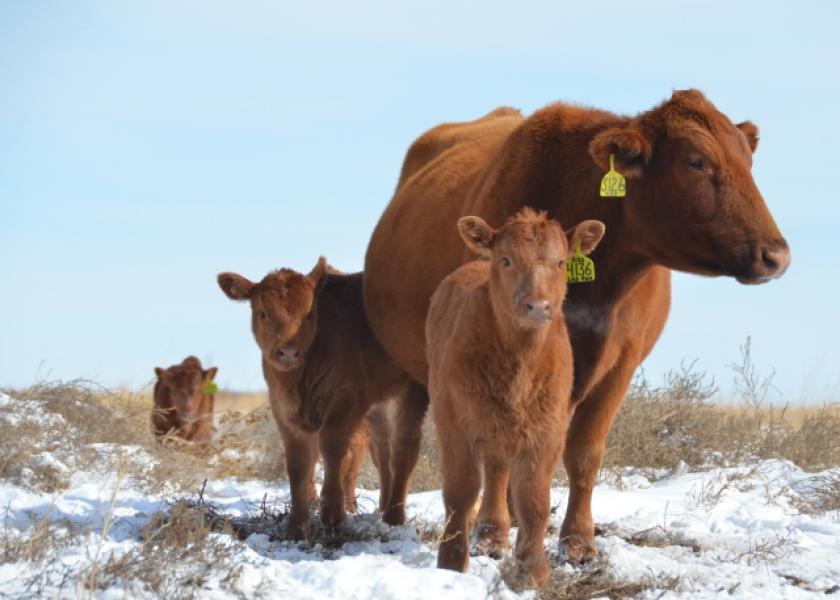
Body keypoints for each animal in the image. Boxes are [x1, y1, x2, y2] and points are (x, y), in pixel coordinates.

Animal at [218, 258, 424, 540]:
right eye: (263, 313)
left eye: (309, 314)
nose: (288, 352)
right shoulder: (283, 410)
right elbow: (298, 465)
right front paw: (296, 528)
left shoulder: (347, 399)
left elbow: (333, 449)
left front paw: (333, 516)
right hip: (379, 406)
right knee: (384, 450)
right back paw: (383, 508)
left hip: (414, 387)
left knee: (405, 446)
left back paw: (394, 518)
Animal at [426, 207, 604, 584]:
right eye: (506, 260)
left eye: (561, 262)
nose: (537, 306)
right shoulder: (453, 422)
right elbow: (461, 492)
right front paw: (451, 565)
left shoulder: (548, 429)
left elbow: (534, 500)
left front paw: (533, 573)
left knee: (498, 470)